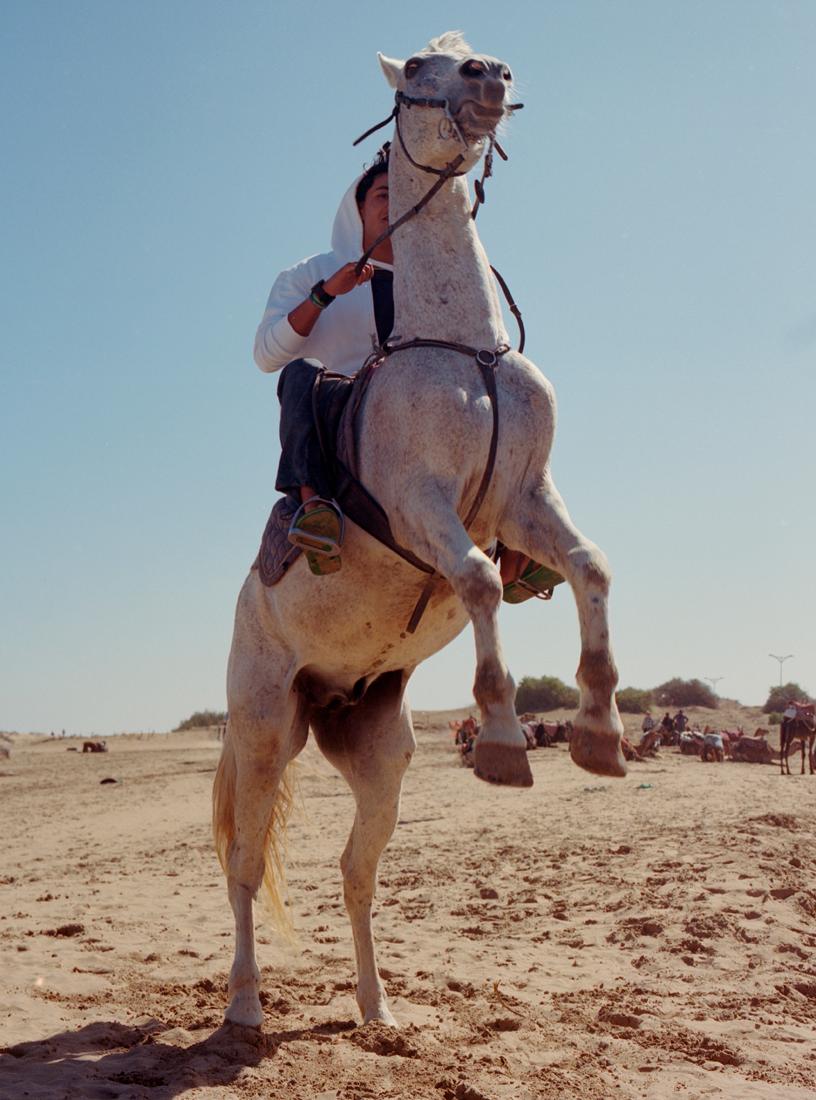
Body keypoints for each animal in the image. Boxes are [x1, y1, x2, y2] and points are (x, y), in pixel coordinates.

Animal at [213, 31, 625, 1030]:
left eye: (469, 55)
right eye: (416, 75)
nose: (491, 77)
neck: (461, 350)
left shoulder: (526, 498)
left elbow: (590, 566)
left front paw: (599, 731)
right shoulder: (425, 505)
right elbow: (478, 578)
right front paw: (508, 742)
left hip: (376, 754)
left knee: (355, 875)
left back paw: (377, 1009)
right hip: (263, 730)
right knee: (244, 866)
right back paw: (244, 1006)